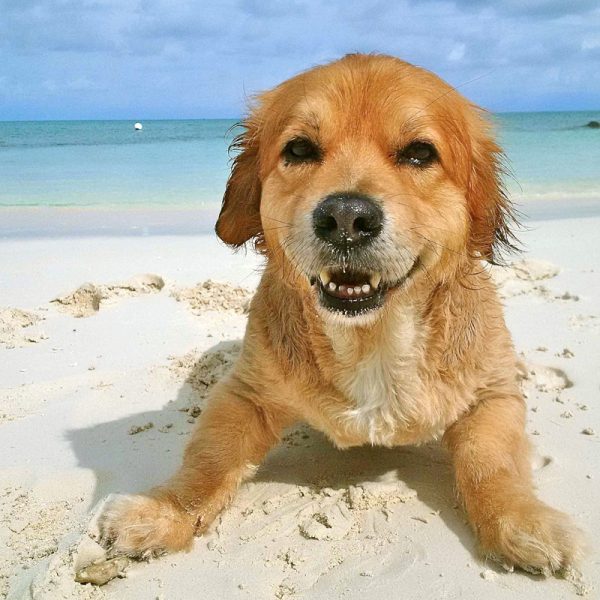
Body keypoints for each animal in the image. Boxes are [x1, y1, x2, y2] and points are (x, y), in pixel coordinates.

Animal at [102, 54, 580, 576]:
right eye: (299, 148)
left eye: (419, 153)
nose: (347, 218)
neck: (372, 338)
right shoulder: (243, 394)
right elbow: (209, 459)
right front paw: (164, 512)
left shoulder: (493, 397)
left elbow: (490, 462)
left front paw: (521, 521)